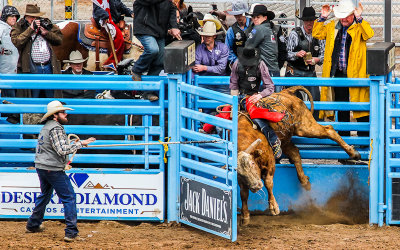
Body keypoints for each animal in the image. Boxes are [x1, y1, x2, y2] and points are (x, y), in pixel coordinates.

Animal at [236, 85, 360, 225]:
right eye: (239, 172)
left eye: (252, 163)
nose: (255, 186)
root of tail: (286, 92)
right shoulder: (242, 180)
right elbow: (243, 193)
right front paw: (245, 216)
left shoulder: (270, 161)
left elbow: (268, 182)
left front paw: (273, 207)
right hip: (285, 139)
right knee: (295, 153)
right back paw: (304, 180)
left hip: (305, 126)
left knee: (329, 130)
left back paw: (353, 153)